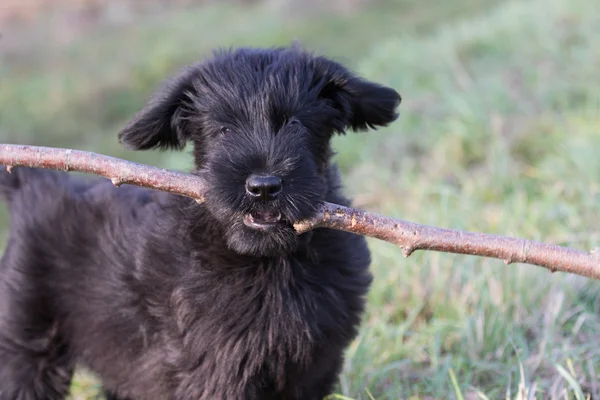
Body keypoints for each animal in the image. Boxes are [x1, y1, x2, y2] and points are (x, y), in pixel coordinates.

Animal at [1, 45, 404, 398]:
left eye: (296, 125)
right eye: (224, 130)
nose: (263, 187)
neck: (271, 261)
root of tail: (35, 186)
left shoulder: (314, 367)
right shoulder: (217, 370)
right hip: (23, 340)